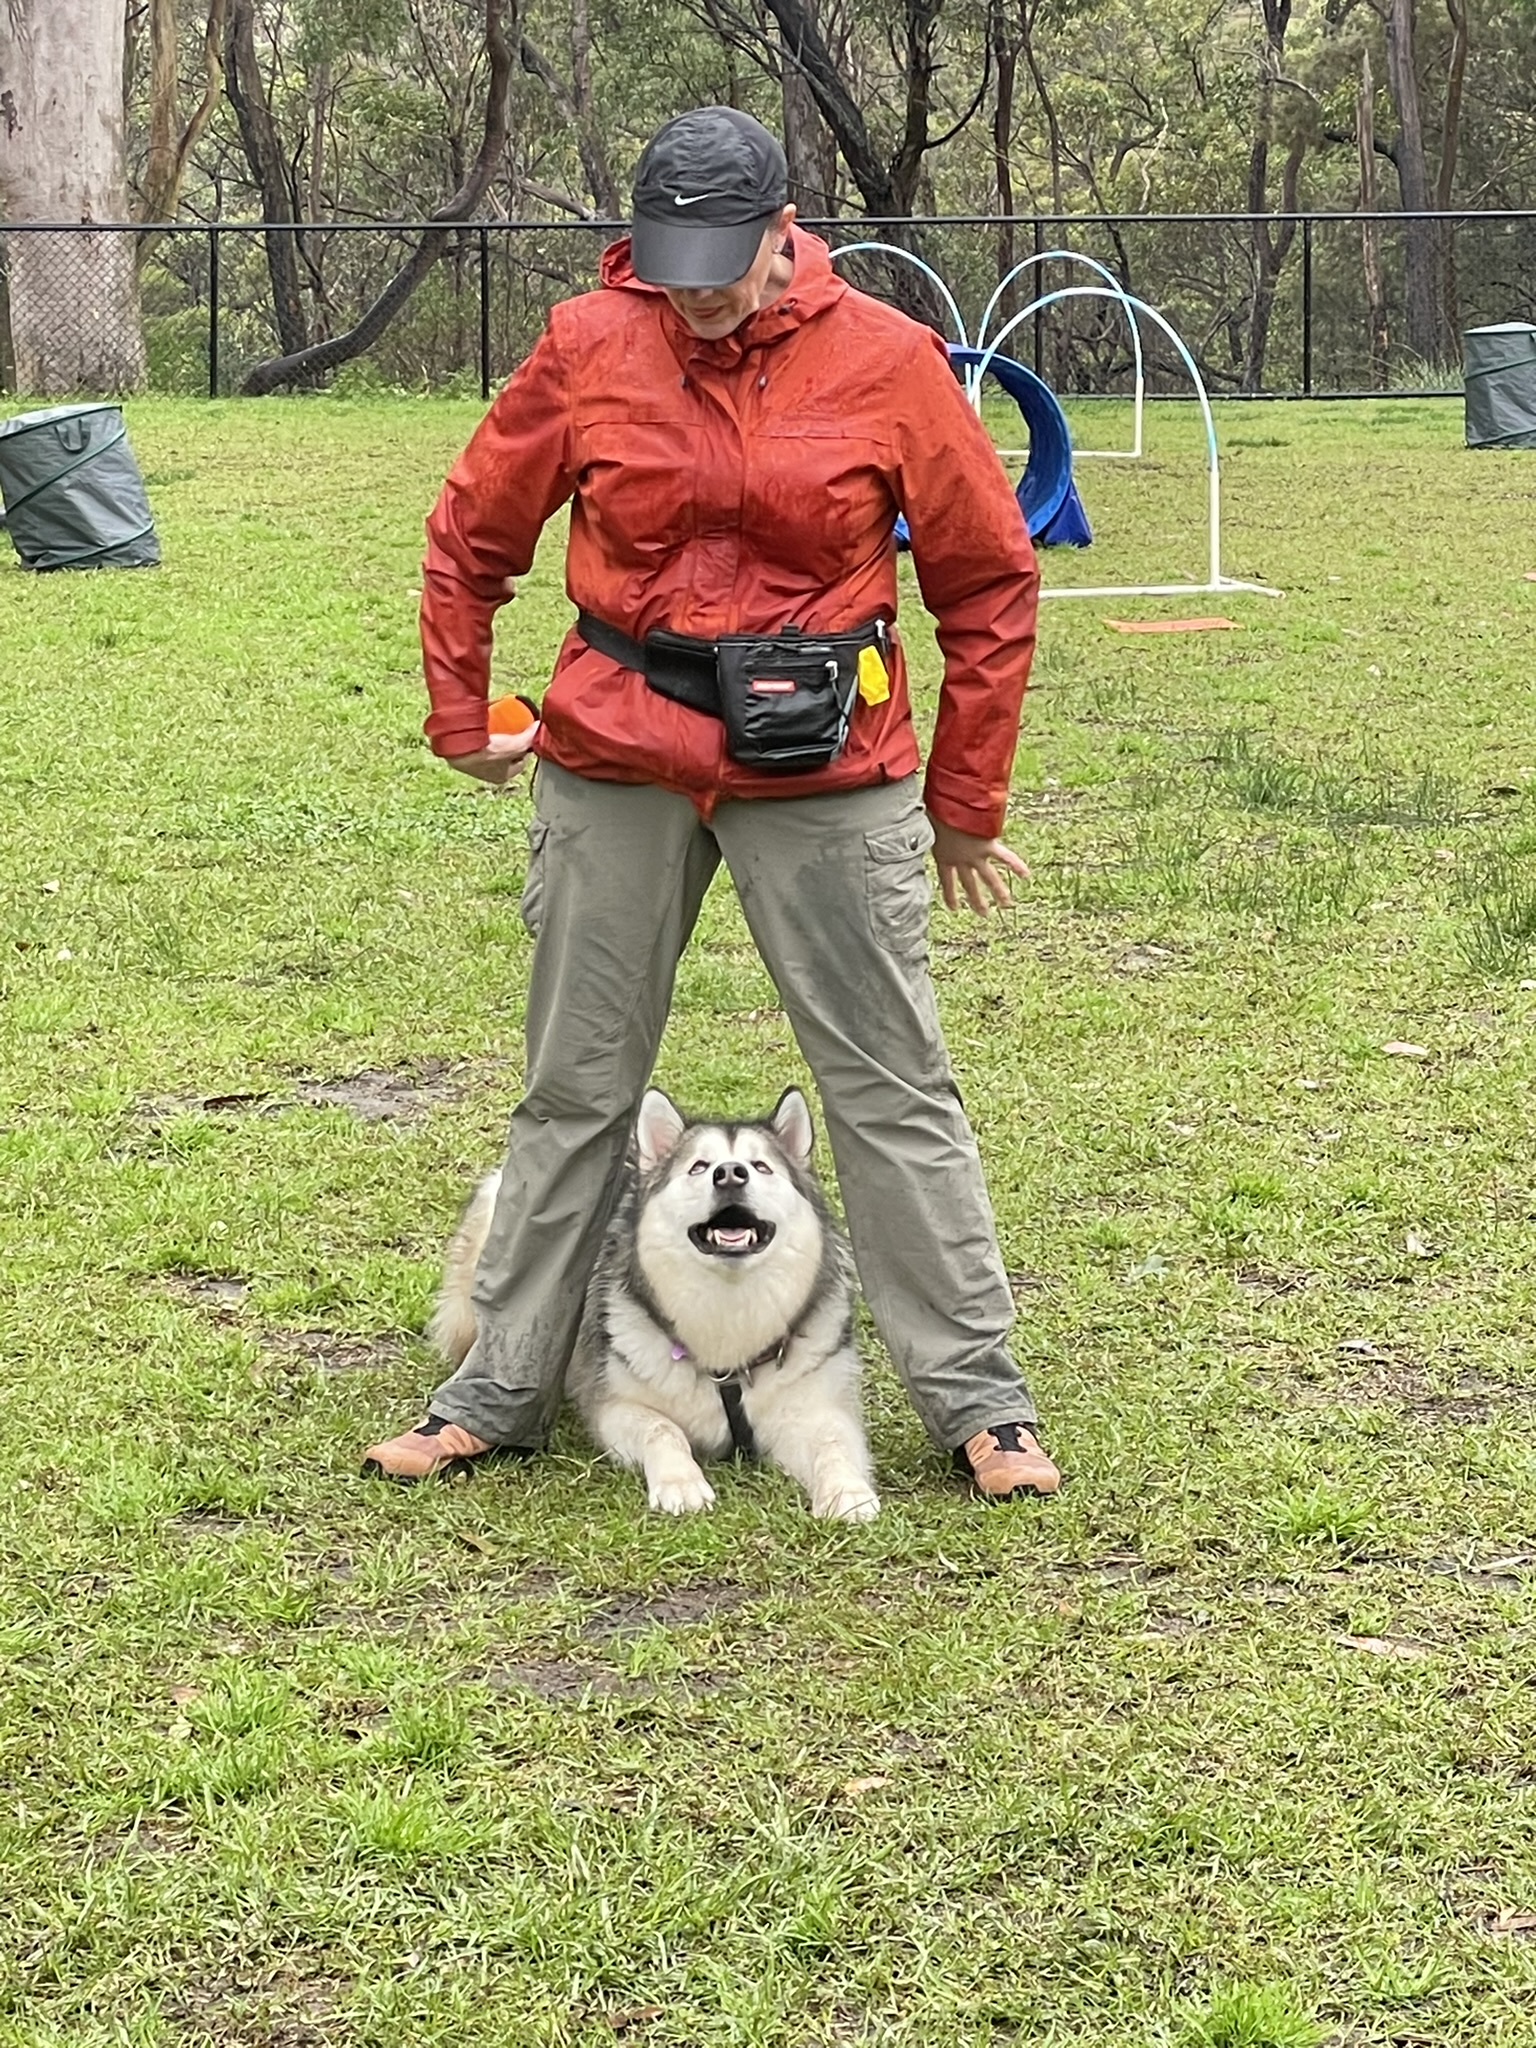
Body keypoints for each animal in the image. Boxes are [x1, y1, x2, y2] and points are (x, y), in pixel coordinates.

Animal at [430, 1089, 876, 1523]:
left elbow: (833, 1443)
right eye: (699, 1166)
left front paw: (847, 1491)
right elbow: (662, 1429)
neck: (728, 1312)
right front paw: (681, 1482)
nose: (730, 1174)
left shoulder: (817, 1408)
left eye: (761, 1166)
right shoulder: (615, 1407)